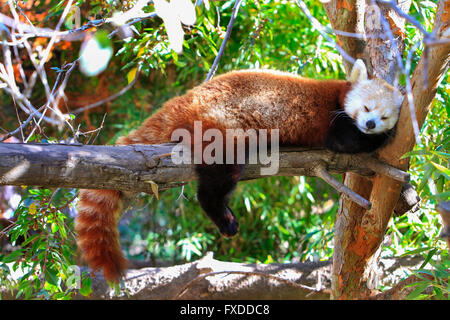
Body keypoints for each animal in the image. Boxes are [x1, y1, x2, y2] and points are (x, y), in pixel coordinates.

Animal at [75, 58, 402, 282]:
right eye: (366, 109)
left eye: (384, 115)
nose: (371, 124)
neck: (338, 92)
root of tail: (187, 98)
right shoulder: (331, 122)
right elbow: (349, 141)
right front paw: (386, 137)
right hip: (222, 128)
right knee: (215, 182)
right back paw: (224, 218)